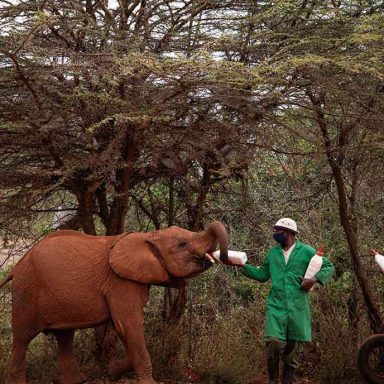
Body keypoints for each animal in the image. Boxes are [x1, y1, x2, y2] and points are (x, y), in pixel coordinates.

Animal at [0, 220, 228, 382]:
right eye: (182, 244)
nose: (219, 256)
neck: (150, 236)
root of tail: (16, 268)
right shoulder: (121, 282)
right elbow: (129, 326)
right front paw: (141, 380)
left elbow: (129, 332)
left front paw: (113, 371)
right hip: (26, 292)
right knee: (22, 339)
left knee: (65, 336)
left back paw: (78, 381)